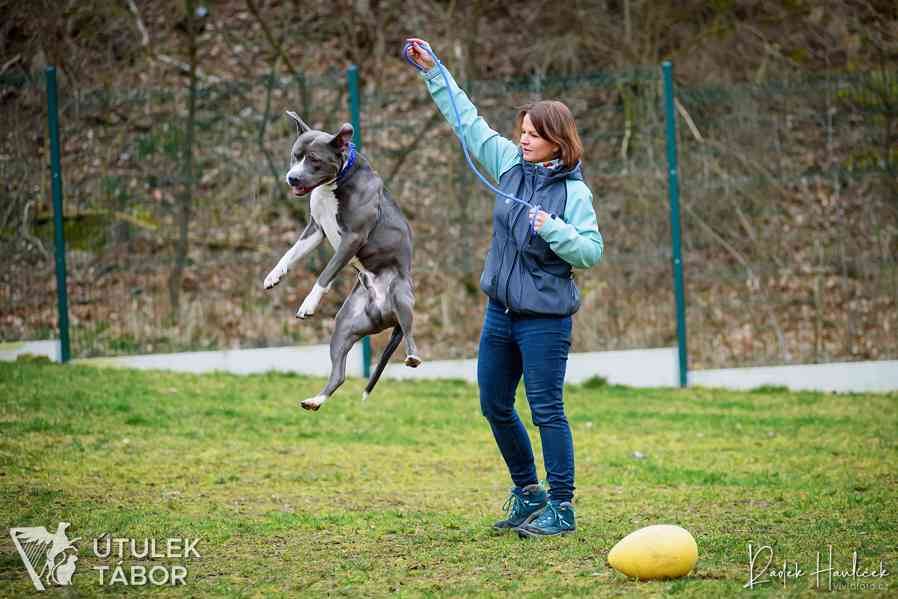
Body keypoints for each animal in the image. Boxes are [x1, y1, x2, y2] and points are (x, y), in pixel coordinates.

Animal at [262, 111, 420, 412]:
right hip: (344, 327)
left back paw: (413, 356)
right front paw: (274, 275)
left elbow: (326, 273)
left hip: (400, 295)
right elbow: (291, 253)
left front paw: (308, 303)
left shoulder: (352, 239)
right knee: (339, 374)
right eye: (294, 156)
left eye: (314, 159)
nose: (292, 178)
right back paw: (315, 400)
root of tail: (382, 307)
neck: (335, 183)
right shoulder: (315, 230)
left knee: (409, 334)